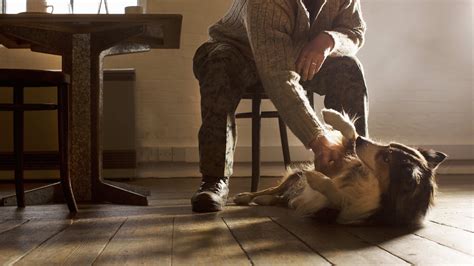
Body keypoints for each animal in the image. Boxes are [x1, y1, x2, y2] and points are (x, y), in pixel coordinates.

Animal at [234, 108, 448, 224]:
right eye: (389, 145)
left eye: (387, 159)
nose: (361, 141)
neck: (370, 179)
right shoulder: (340, 160)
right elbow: (350, 132)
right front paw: (331, 115)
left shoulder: (337, 211)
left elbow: (336, 195)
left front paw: (317, 179)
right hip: (294, 175)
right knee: (271, 189)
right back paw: (246, 196)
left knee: (279, 197)